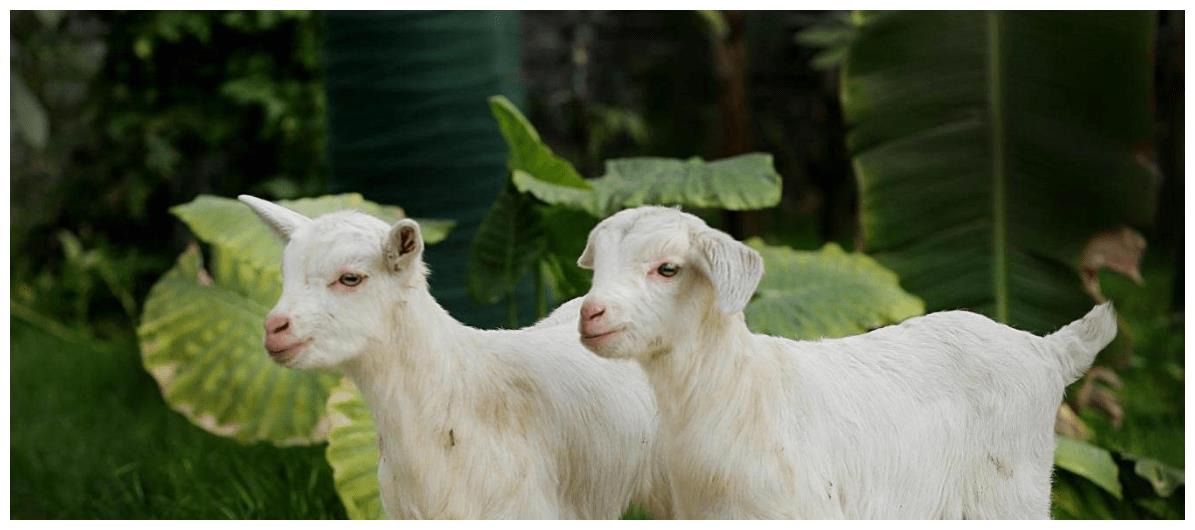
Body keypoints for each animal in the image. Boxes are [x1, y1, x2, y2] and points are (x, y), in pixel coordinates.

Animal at [573, 205, 1113, 520]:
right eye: (598, 266)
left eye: (668, 268)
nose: (590, 313)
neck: (743, 392)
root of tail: (1046, 349)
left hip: (1008, 492)